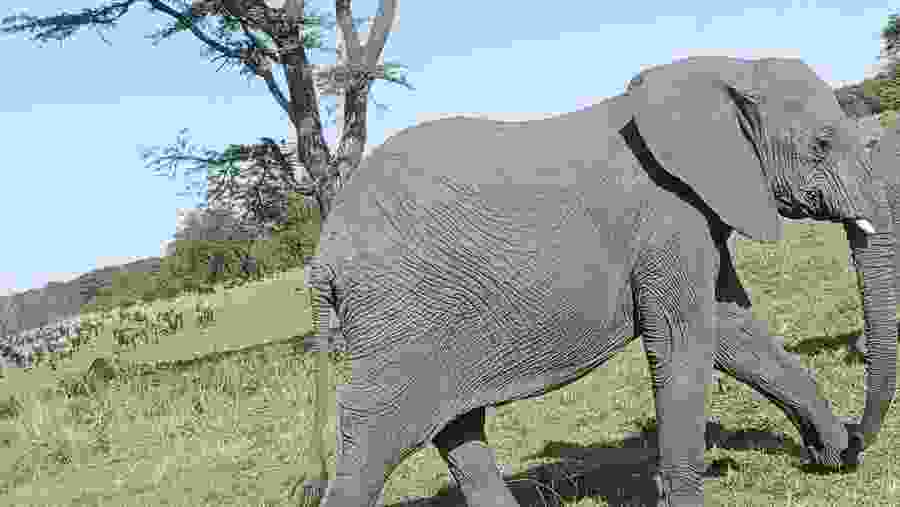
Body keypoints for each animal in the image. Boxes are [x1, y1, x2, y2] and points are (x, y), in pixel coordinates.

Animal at [301, 56, 895, 507]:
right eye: (821, 144)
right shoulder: (668, 218)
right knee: (379, 430)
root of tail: (322, 258)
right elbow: (683, 343)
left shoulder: (697, 214)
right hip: (400, 315)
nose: (859, 438)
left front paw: (832, 454)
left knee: (456, 425)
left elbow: (735, 334)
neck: (722, 67)